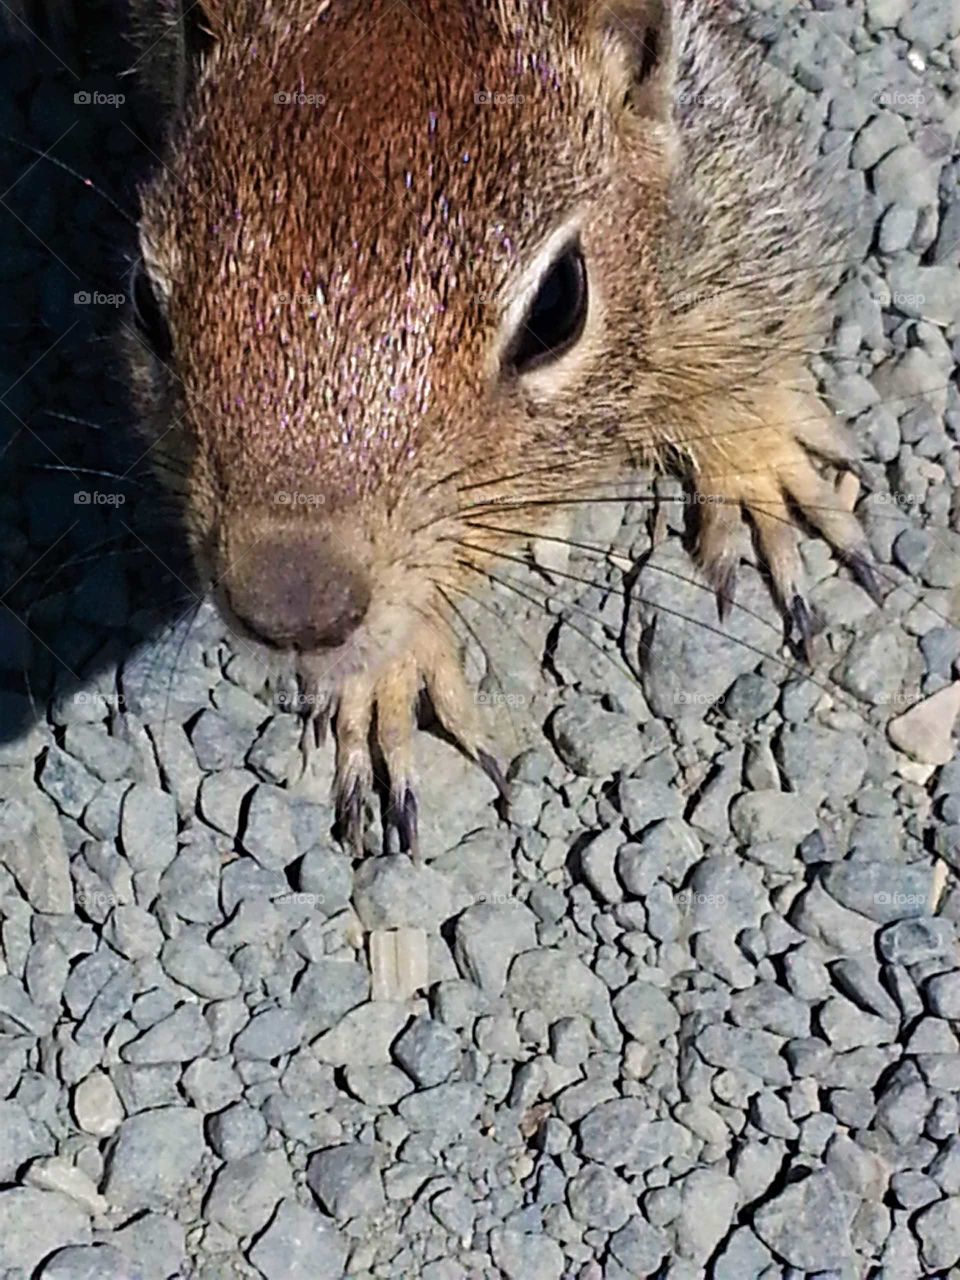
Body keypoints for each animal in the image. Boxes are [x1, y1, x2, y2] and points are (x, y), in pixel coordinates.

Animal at [10, 1, 882, 853]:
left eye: (559, 305)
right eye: (144, 302)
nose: (291, 608)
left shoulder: (716, 127)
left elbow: (751, 254)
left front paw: (755, 450)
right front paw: (389, 669)